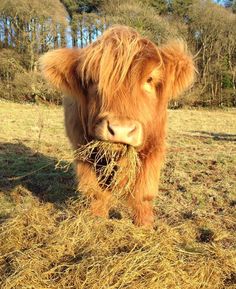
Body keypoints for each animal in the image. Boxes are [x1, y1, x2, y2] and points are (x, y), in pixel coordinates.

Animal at [41, 25, 195, 227]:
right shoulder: (84, 151)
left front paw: (145, 224)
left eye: (149, 79)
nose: (121, 130)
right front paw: (97, 219)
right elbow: (95, 191)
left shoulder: (154, 147)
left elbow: (144, 192)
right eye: (93, 80)